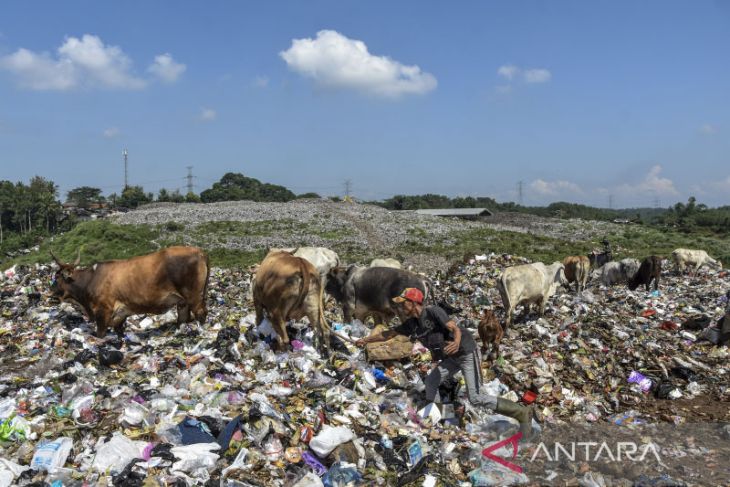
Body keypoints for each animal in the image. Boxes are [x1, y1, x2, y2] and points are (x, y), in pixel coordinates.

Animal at [49, 246, 209, 338]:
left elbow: (100, 334)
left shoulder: (103, 312)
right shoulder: (121, 314)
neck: (91, 279)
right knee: (183, 318)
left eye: (56, 277)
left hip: (193, 296)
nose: (51, 294)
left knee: (201, 314)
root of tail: (199, 252)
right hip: (182, 302)